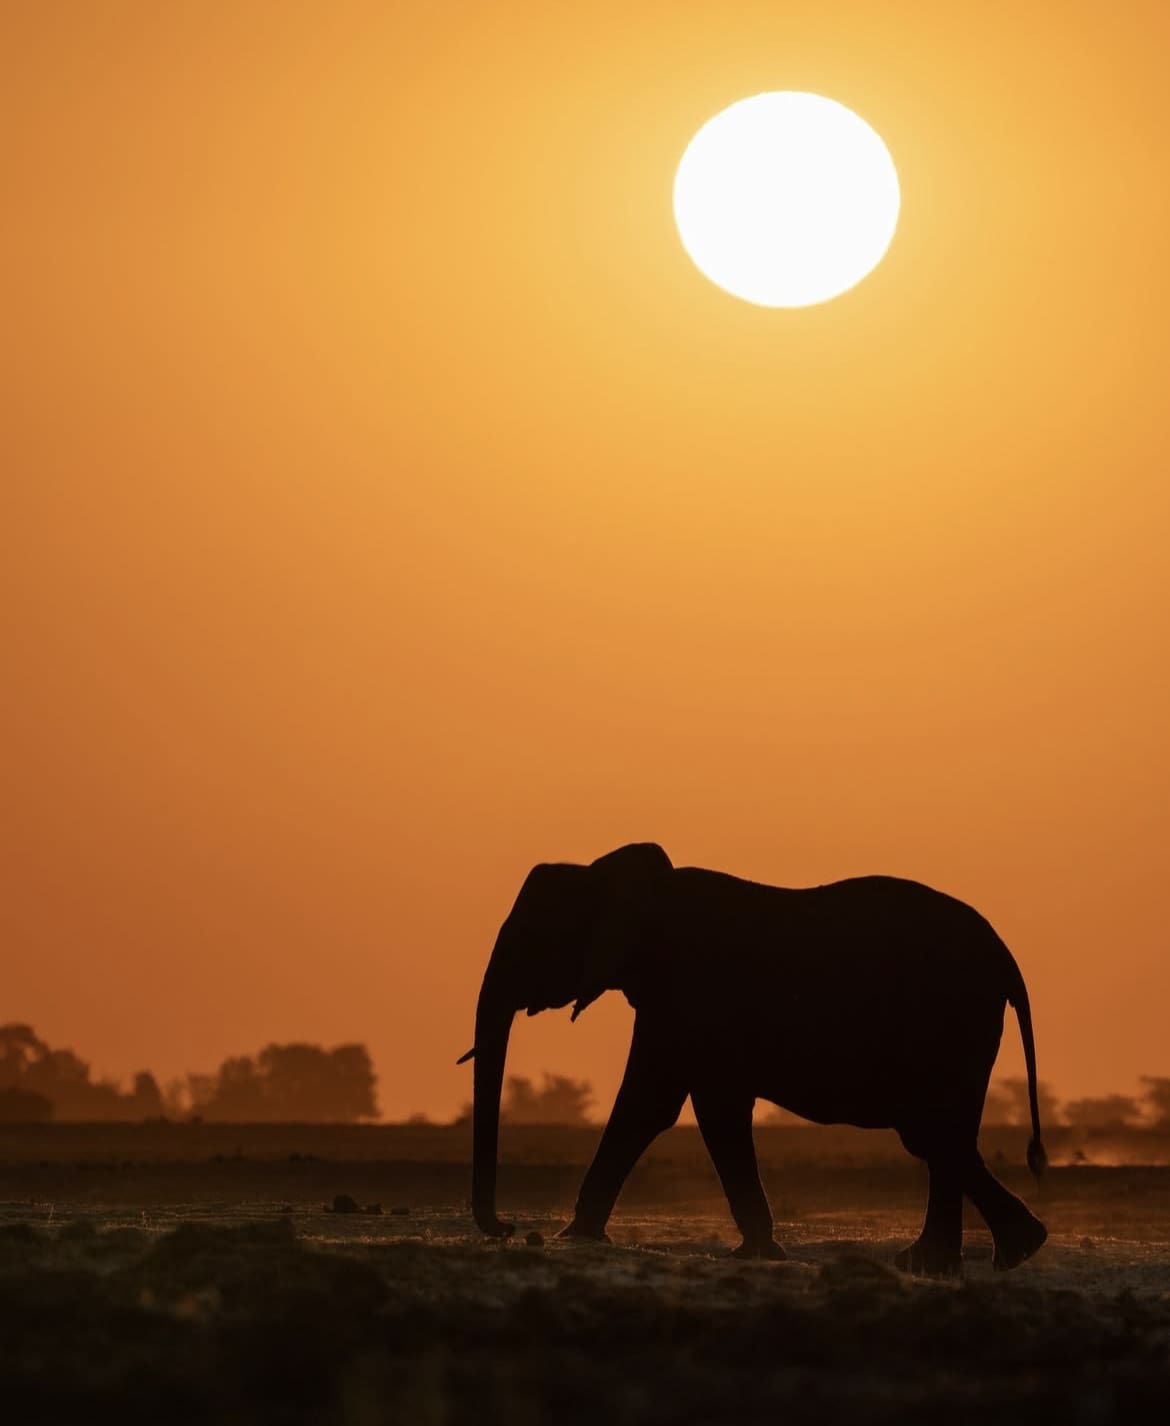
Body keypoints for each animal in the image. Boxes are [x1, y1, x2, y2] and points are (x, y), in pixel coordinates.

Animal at [459, 838, 1050, 1277]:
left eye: (534, 937)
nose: (511, 1230)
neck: (624, 879)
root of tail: (1008, 958)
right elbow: (675, 1106)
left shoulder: (687, 992)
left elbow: (670, 1106)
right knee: (941, 1134)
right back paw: (972, 1257)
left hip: (953, 1019)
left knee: (930, 1129)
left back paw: (985, 1254)